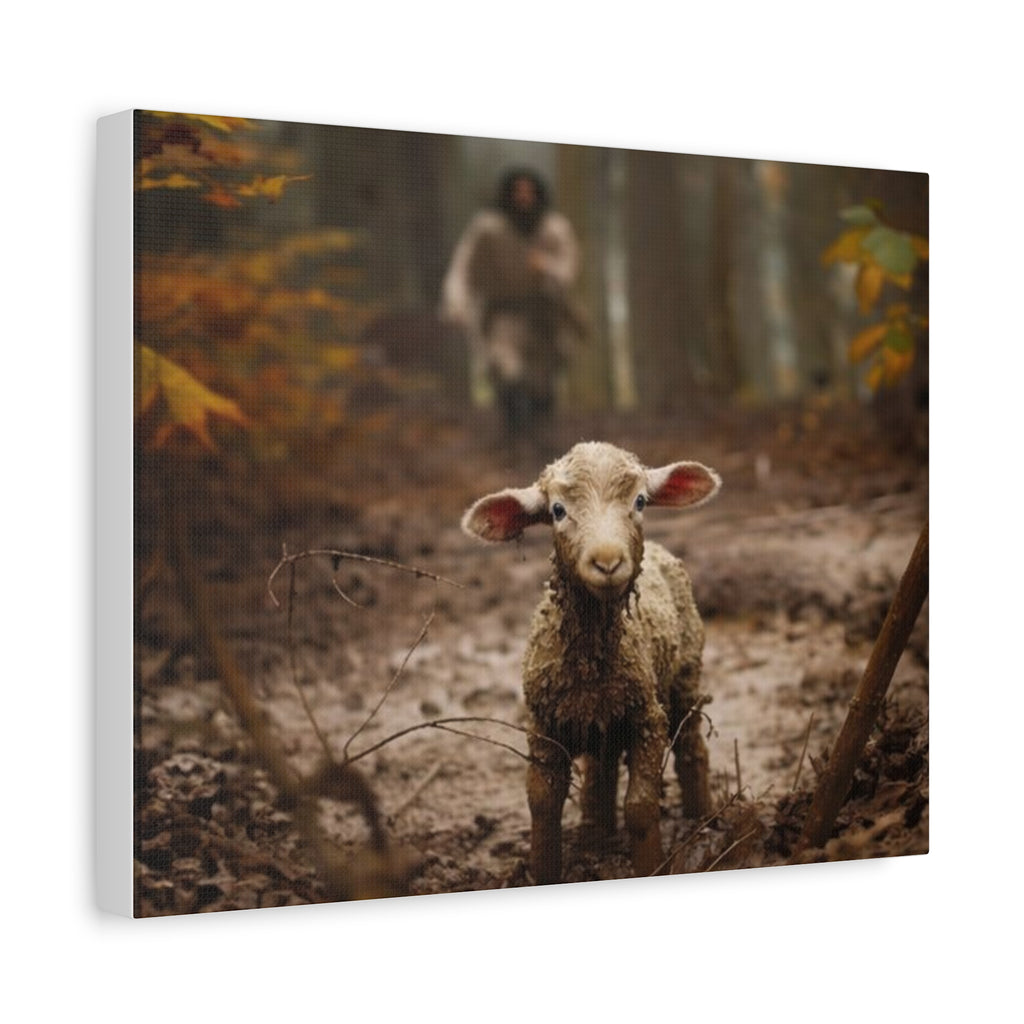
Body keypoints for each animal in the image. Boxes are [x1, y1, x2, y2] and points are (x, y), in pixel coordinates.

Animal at [462, 441, 721, 884]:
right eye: (557, 510)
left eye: (640, 501)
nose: (607, 562)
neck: (590, 664)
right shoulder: (543, 724)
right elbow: (543, 804)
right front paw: (545, 871)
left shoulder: (648, 717)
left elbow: (640, 807)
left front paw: (650, 865)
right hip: (604, 721)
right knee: (602, 770)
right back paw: (595, 836)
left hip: (685, 675)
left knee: (691, 747)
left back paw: (701, 821)